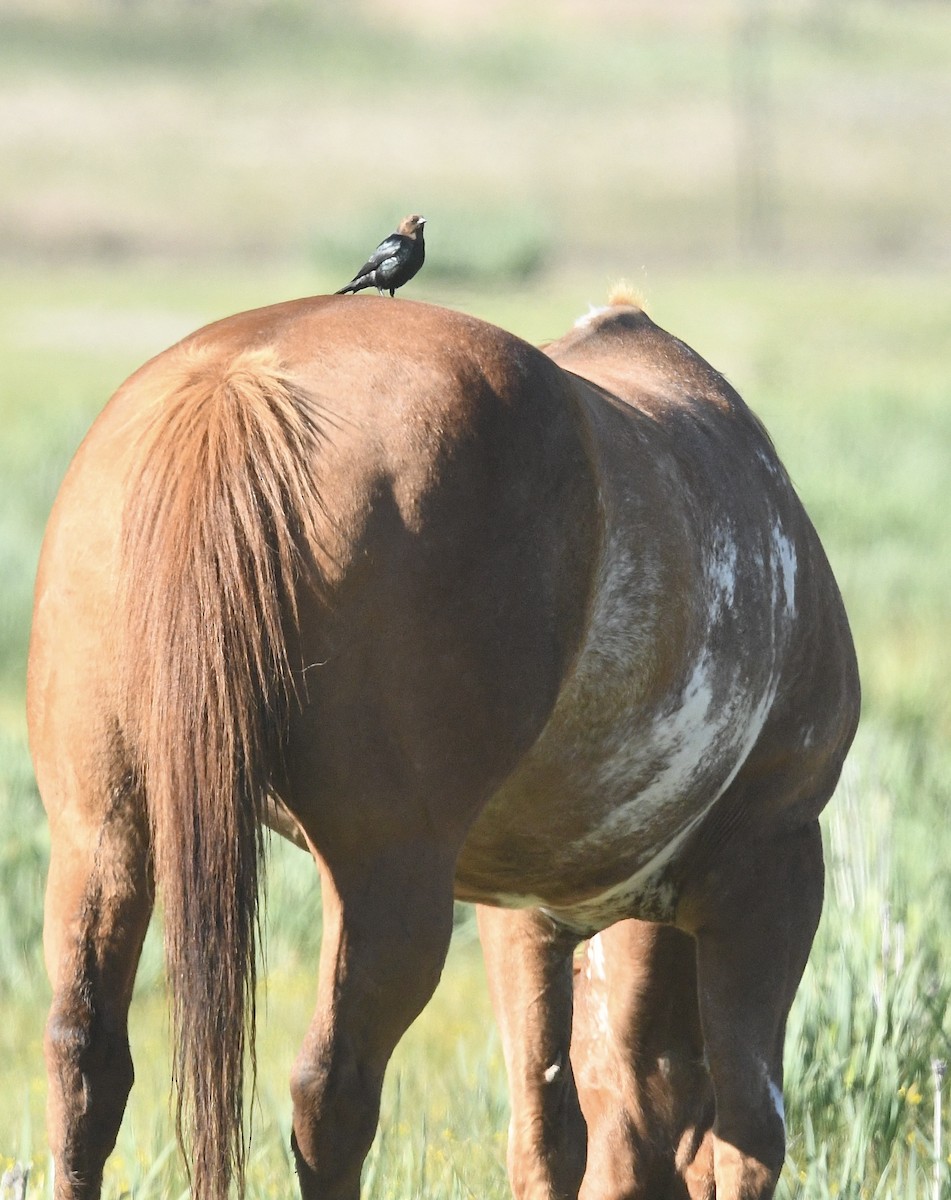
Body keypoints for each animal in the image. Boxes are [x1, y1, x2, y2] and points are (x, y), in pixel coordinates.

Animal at [27, 290, 859, 1200]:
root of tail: (236, 388)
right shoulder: (771, 874)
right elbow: (745, 1139)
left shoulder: (525, 917)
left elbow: (549, 1136)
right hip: (385, 875)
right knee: (331, 1089)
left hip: (102, 833)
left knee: (86, 1059)